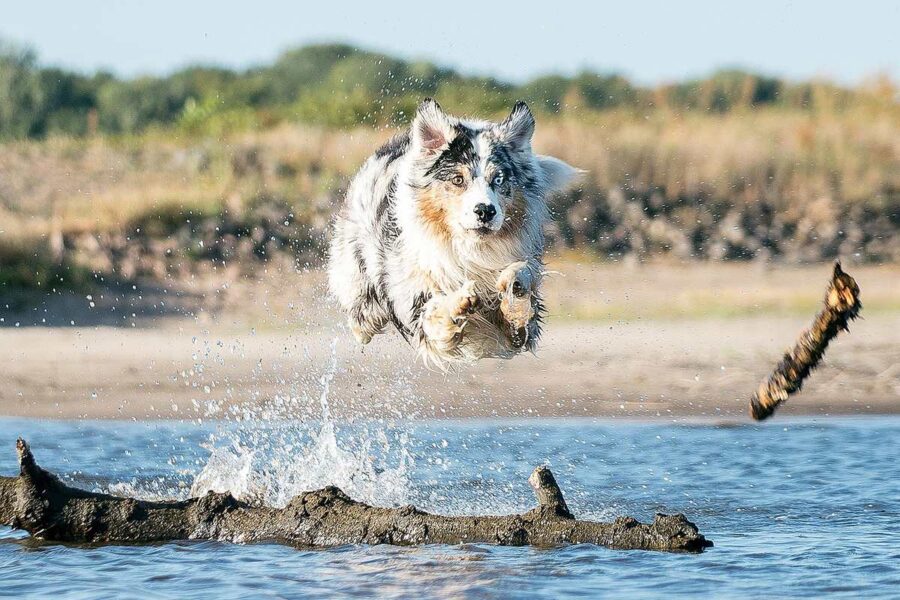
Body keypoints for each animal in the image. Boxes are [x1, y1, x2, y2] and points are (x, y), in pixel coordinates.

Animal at [326, 98, 580, 364]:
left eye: (498, 180)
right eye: (458, 179)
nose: (485, 211)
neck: (469, 249)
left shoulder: (520, 332)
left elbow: (521, 280)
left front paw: (513, 283)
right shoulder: (416, 306)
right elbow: (434, 311)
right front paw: (460, 301)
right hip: (359, 287)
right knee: (362, 321)